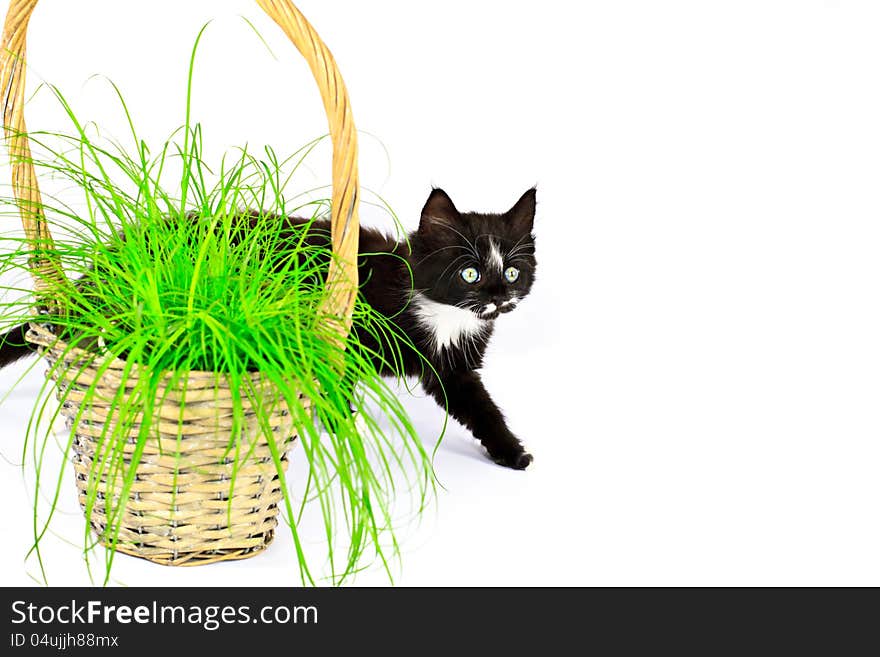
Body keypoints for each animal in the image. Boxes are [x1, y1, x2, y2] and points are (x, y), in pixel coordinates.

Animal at [0, 187, 536, 468]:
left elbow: (481, 409)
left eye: (512, 272)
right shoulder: (342, 340)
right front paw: (343, 432)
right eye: (469, 274)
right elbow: (336, 390)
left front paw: (512, 453)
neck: (439, 314)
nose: (498, 297)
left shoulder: (453, 368)